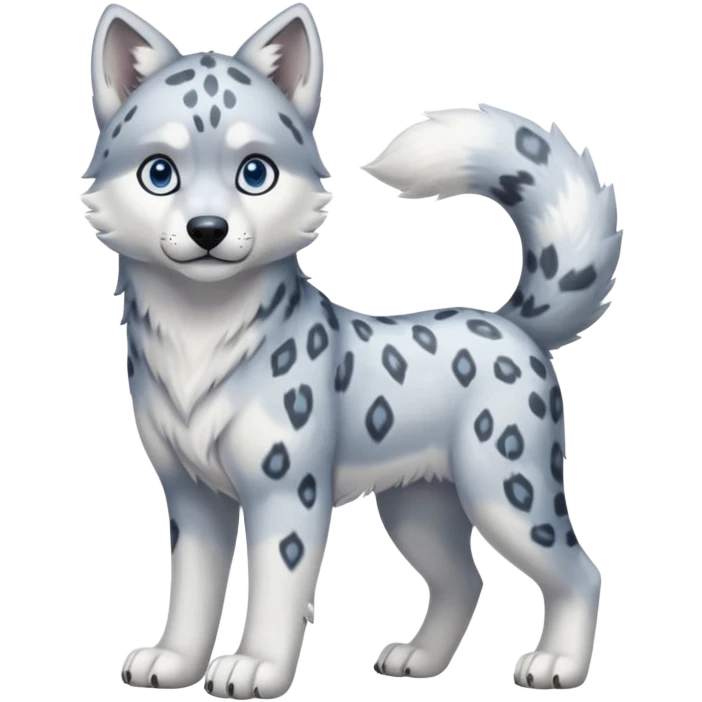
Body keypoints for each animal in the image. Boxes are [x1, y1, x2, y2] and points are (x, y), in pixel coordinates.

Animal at [85, 2, 620, 697]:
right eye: (159, 172)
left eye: (254, 172)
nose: (208, 230)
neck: (200, 342)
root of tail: (513, 325)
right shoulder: (191, 495)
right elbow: (192, 592)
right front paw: (173, 662)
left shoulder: (287, 491)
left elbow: (277, 591)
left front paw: (256, 668)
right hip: (419, 507)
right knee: (464, 579)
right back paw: (418, 659)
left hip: (507, 490)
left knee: (580, 571)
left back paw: (557, 664)